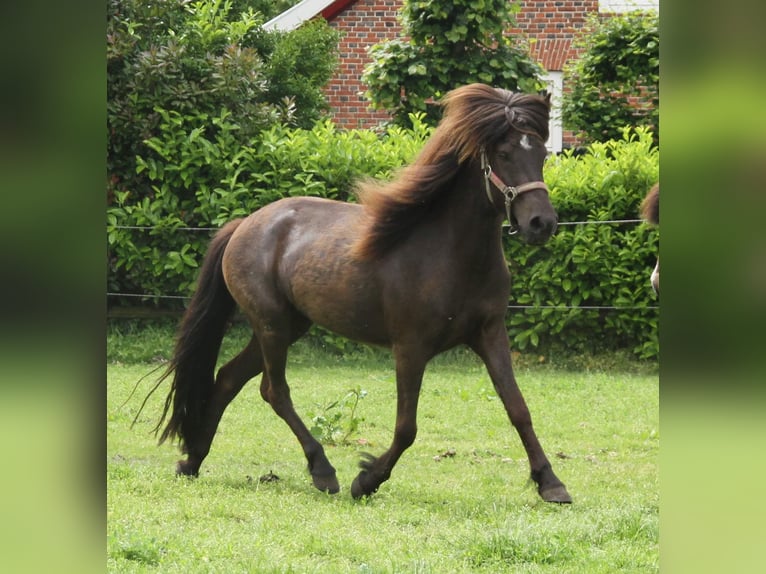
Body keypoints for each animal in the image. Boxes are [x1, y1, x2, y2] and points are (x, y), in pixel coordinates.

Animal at [150, 84, 572, 504]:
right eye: (504, 154)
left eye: (541, 154)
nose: (542, 223)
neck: (448, 253)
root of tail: (243, 225)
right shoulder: (410, 347)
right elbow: (406, 427)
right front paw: (367, 479)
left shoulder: (489, 334)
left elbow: (518, 409)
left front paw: (551, 483)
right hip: (272, 326)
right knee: (274, 391)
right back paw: (322, 471)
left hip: (288, 326)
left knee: (228, 378)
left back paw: (192, 460)